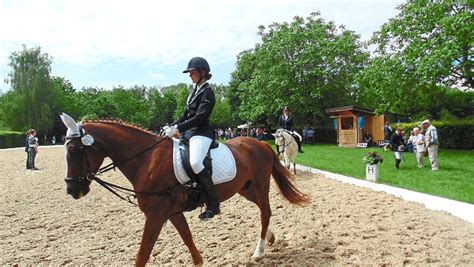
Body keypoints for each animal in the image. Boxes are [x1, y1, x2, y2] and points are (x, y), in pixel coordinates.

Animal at [60, 116, 312, 266]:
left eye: (73, 149)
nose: (72, 189)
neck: (146, 160)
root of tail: (261, 144)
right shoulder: (171, 212)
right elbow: (187, 239)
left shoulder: (156, 214)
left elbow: (143, 253)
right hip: (245, 188)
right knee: (263, 211)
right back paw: (269, 238)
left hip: (260, 185)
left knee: (265, 212)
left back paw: (258, 251)